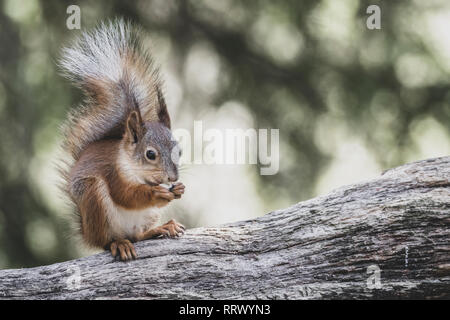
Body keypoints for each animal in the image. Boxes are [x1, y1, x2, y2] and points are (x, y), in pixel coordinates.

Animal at [58, 19, 185, 260]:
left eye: (179, 151)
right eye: (150, 154)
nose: (172, 178)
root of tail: (87, 231)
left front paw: (179, 189)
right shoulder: (112, 172)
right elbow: (126, 195)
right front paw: (156, 193)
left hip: (145, 218)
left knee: (138, 235)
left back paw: (162, 228)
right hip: (93, 198)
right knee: (108, 241)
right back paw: (119, 243)